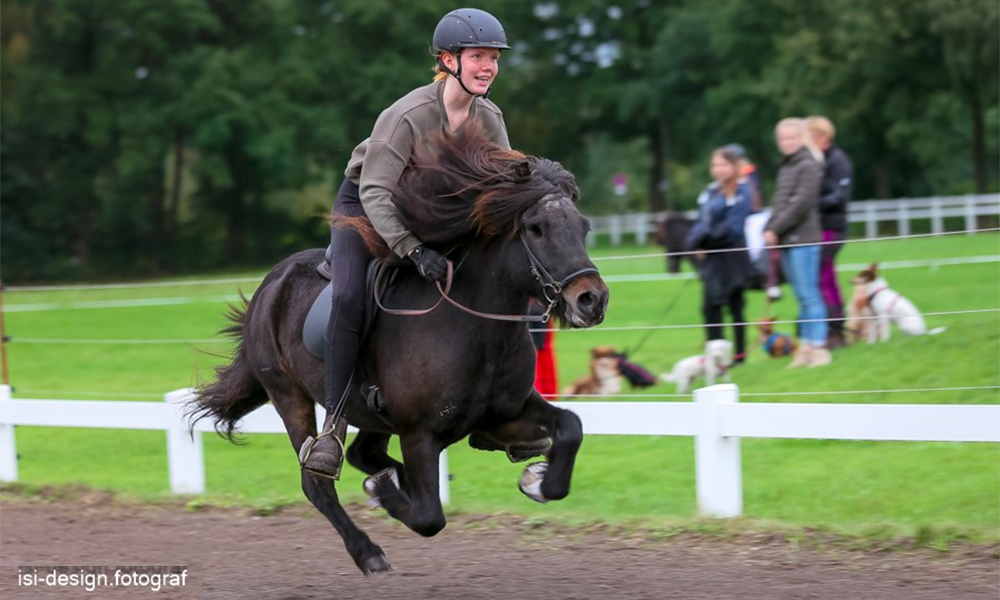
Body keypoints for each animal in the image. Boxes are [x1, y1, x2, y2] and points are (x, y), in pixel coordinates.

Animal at [188, 126, 608, 576]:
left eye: (583, 227)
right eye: (535, 228)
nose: (592, 300)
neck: (476, 328)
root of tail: (269, 285)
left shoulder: (510, 411)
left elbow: (571, 427)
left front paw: (541, 480)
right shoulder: (419, 434)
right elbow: (428, 517)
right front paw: (386, 495)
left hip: (367, 412)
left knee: (363, 452)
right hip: (289, 395)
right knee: (317, 480)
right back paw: (367, 546)